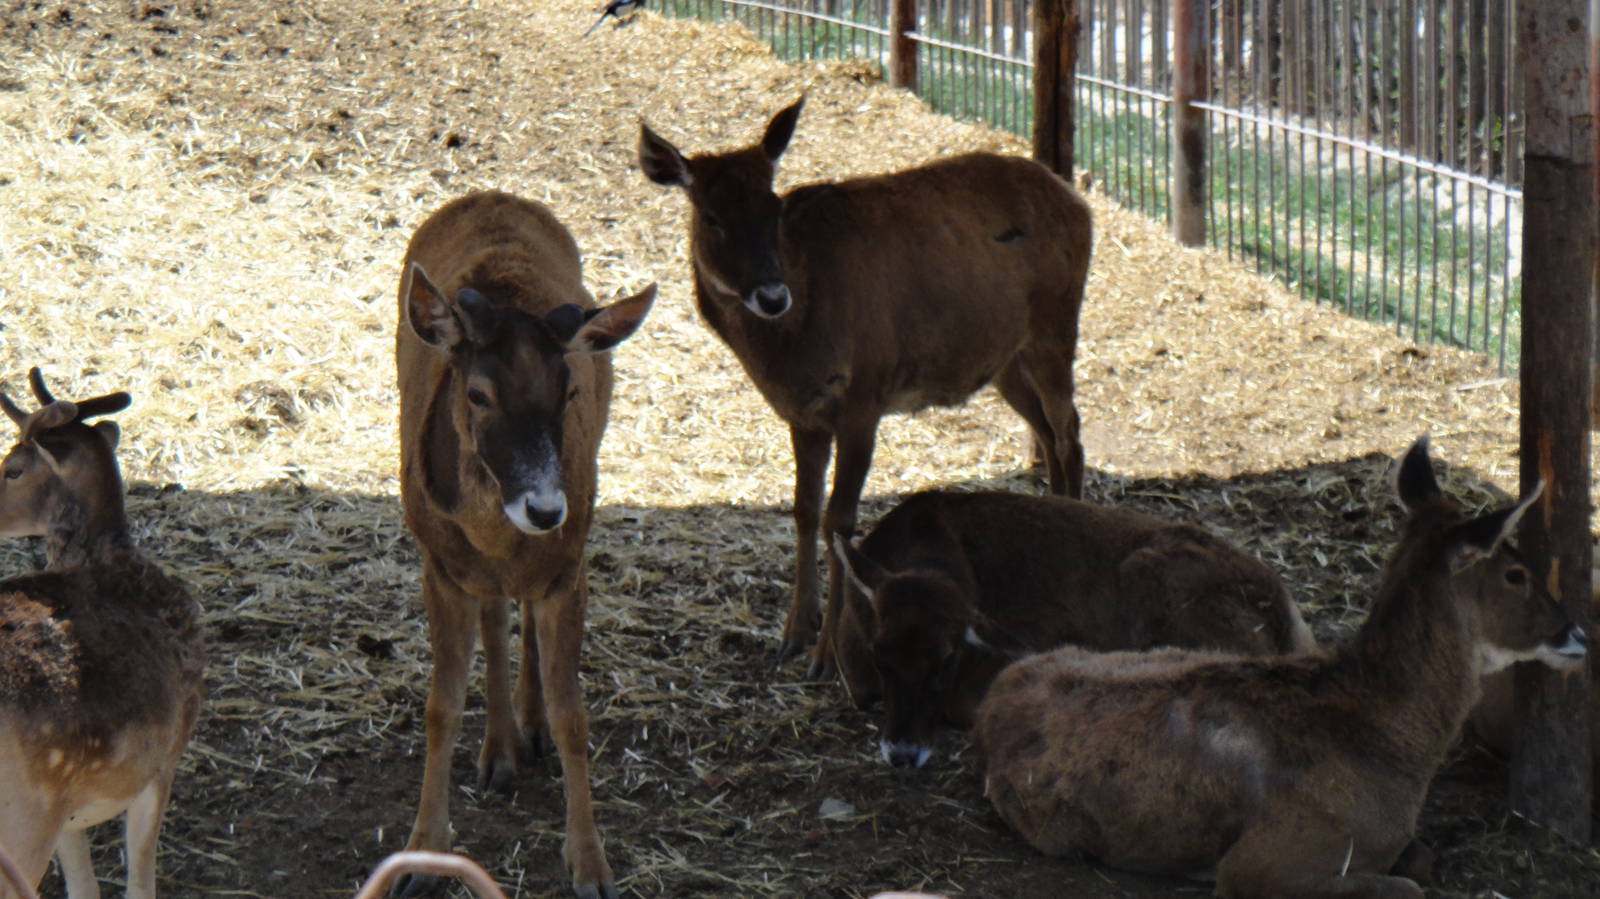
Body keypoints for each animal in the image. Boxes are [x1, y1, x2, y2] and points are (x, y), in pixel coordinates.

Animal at [0, 369, 205, 899]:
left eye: (12, 469)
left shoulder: (69, 814)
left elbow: (85, 887)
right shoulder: (164, 758)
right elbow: (139, 881)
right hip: (25, 818)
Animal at [392, 190, 654, 899]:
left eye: (569, 391)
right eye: (478, 393)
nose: (544, 508)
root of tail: (492, 194)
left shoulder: (568, 567)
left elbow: (573, 715)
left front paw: (591, 864)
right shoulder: (438, 564)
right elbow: (440, 705)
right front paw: (422, 856)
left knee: (522, 617)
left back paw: (524, 733)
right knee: (494, 614)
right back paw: (500, 751)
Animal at [638, 97, 1093, 680]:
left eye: (774, 207)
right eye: (711, 216)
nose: (771, 295)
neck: (795, 348)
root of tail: (1079, 202)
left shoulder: (865, 397)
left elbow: (840, 520)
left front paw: (825, 655)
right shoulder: (803, 414)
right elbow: (804, 509)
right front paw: (792, 634)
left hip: (1055, 325)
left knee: (1070, 432)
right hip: (1002, 359)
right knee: (1049, 430)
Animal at [971, 436, 1589, 898]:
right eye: (1516, 573)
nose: (1577, 633)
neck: (1387, 741)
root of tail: (998, 690)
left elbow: (1420, 860)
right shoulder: (1263, 862)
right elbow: (1409, 886)